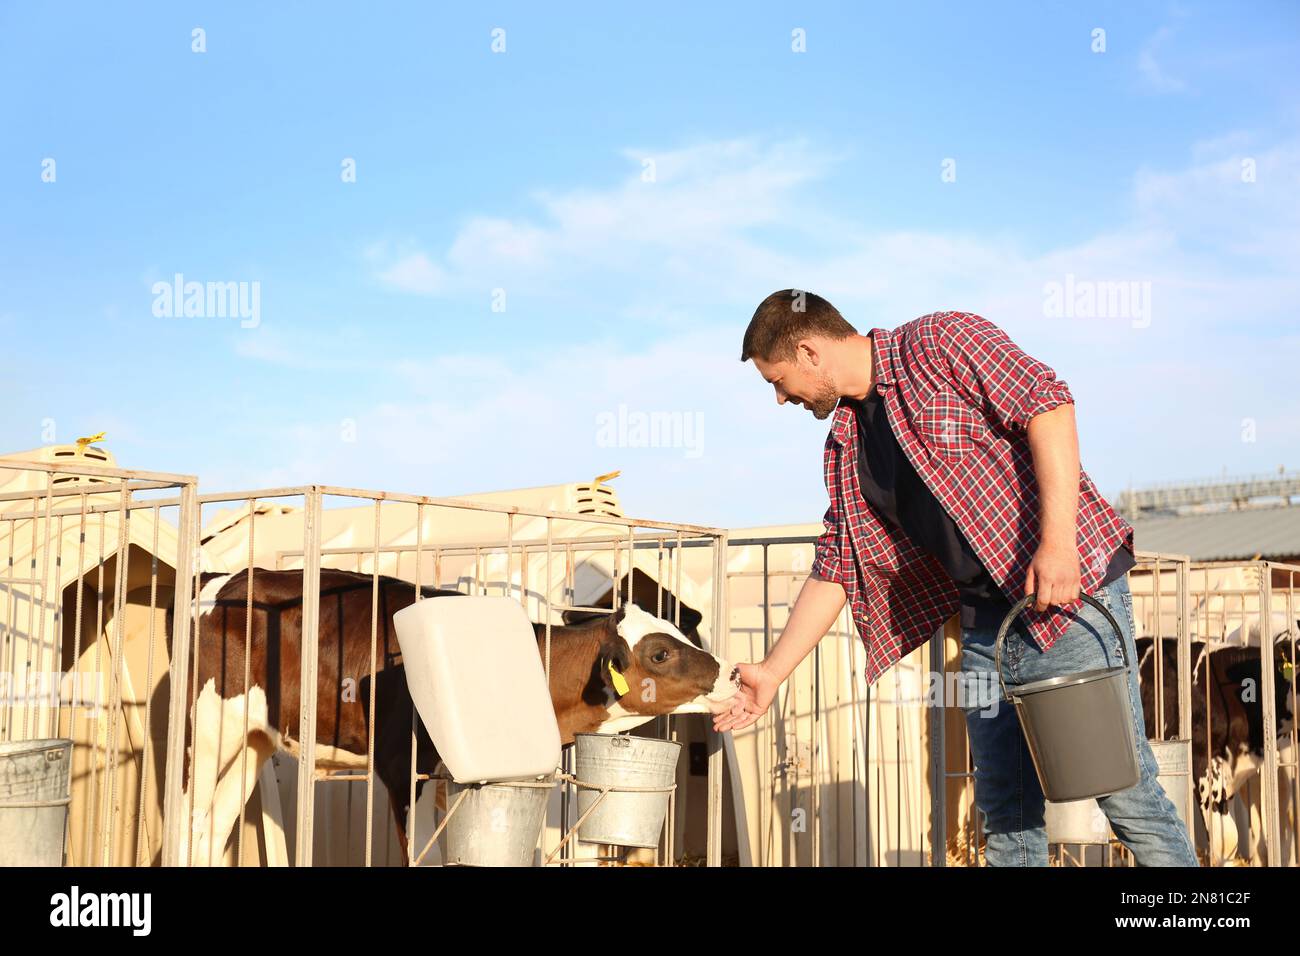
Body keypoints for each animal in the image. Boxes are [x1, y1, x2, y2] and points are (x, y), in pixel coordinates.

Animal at [180, 567, 743, 868]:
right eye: (660, 654)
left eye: (681, 630)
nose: (735, 675)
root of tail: (226, 578)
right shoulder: (402, 768)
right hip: (207, 732)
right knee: (192, 822)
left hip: (254, 740)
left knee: (215, 829)